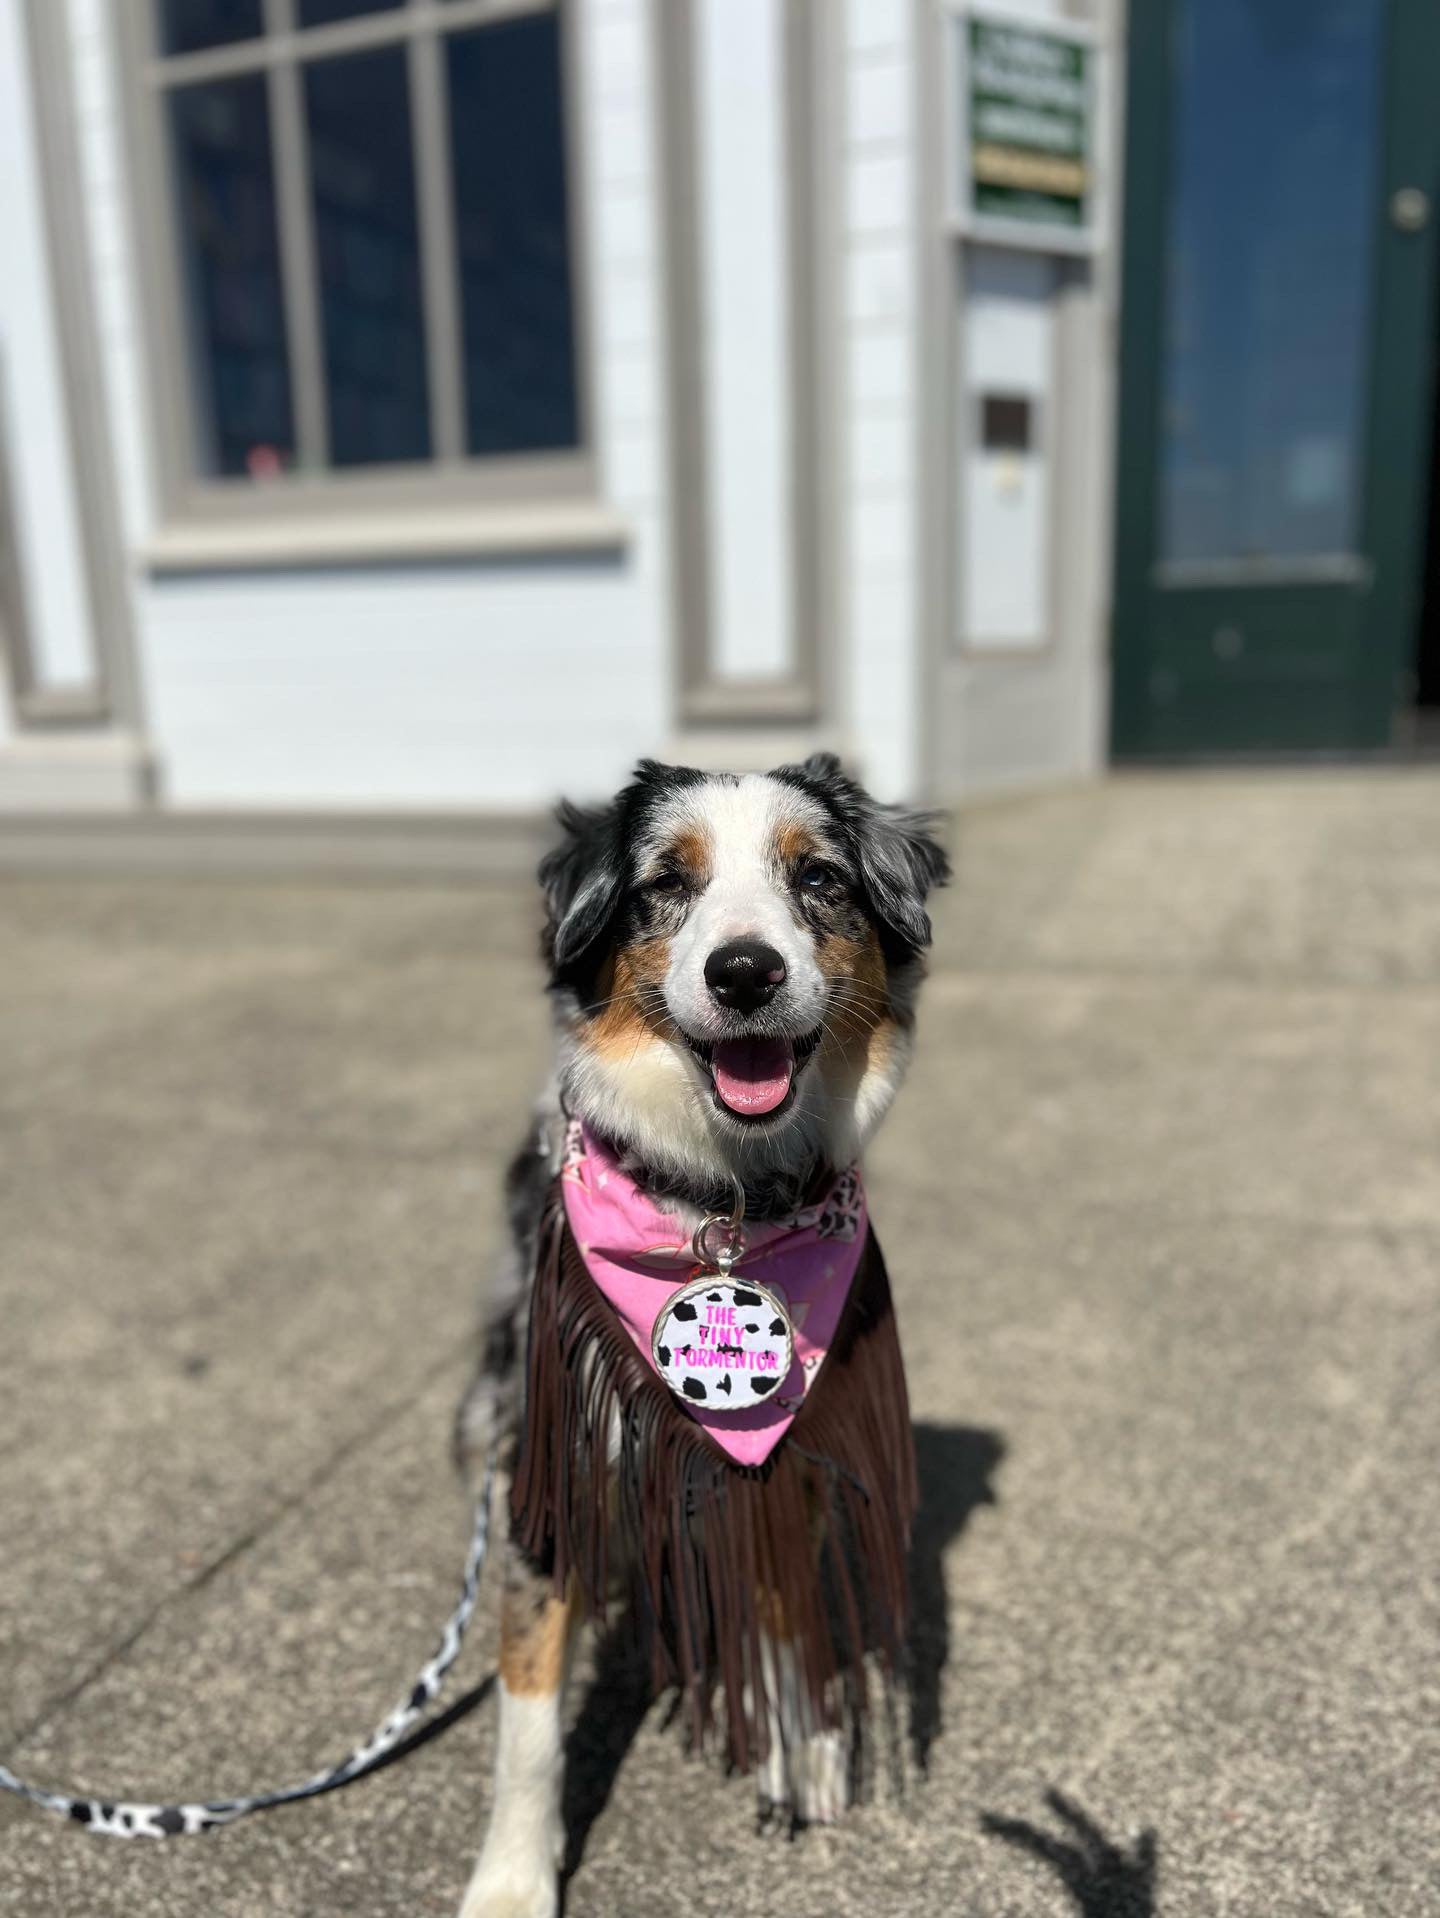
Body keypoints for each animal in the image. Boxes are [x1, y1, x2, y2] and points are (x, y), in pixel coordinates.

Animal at [450, 751, 947, 1918]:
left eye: (818, 879)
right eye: (666, 885)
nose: (746, 972)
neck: (719, 1207)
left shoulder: (789, 1445)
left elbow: (783, 1602)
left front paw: (806, 1749)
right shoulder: (549, 1444)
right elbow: (528, 1710)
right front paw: (512, 1878)